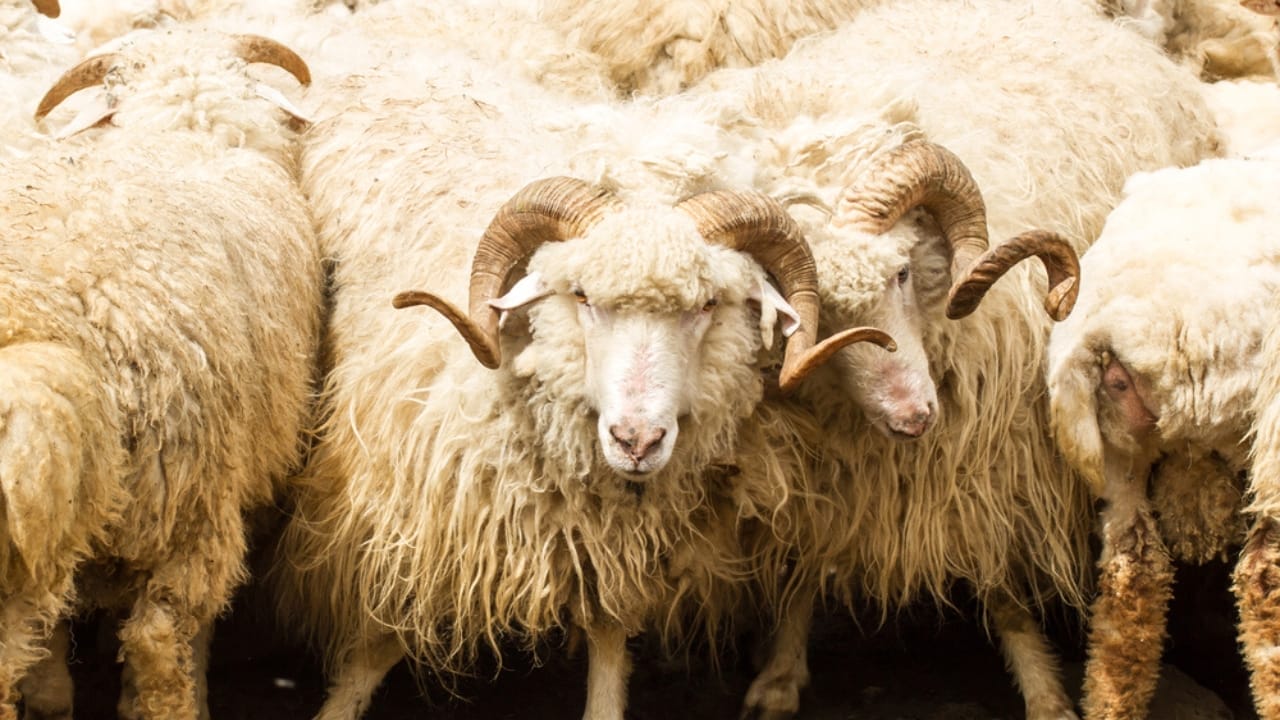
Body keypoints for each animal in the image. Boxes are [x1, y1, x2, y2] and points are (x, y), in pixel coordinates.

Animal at [271, 37, 892, 720]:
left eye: (708, 305)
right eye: (582, 296)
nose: (637, 441)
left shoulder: (612, 541)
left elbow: (609, 643)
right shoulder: (410, 513)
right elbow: (375, 644)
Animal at [671, 1, 1224, 717]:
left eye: (902, 273)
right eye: (812, 318)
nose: (914, 416)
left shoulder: (995, 457)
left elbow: (1004, 592)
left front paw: (1046, 696)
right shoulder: (827, 467)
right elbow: (807, 563)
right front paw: (779, 675)